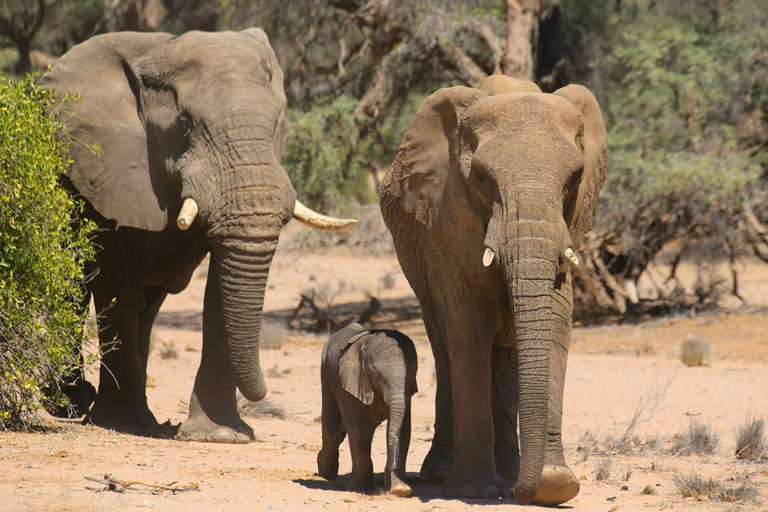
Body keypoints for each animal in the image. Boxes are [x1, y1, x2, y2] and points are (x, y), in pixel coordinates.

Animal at [40, 28, 356, 442]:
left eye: (277, 124)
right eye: (186, 126)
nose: (266, 394)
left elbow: (221, 289)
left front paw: (220, 435)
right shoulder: (107, 176)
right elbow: (115, 283)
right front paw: (123, 425)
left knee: (146, 307)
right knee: (75, 291)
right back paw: (73, 404)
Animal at [316, 324, 416, 496]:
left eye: (412, 375)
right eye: (377, 376)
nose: (393, 468)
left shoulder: (407, 394)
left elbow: (404, 429)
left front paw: (400, 489)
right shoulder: (349, 382)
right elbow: (359, 429)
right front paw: (361, 489)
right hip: (326, 373)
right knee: (333, 429)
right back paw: (325, 473)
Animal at [380, 75, 608, 504]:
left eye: (573, 180)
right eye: (482, 180)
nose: (524, 492)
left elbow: (556, 322)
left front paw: (555, 484)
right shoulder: (445, 216)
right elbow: (467, 324)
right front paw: (478, 490)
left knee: (503, 354)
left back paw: (511, 471)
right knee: (446, 344)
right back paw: (450, 473)